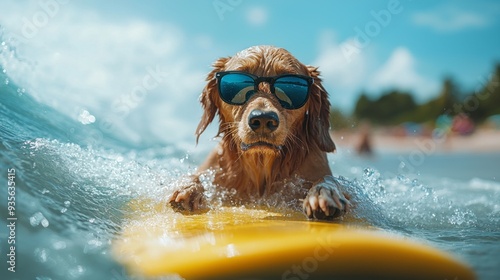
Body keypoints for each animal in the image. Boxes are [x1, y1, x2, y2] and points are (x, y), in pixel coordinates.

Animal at [170, 44, 350, 220]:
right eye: (238, 85)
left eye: (290, 87)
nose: (263, 119)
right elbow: (192, 175)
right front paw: (187, 188)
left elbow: (327, 179)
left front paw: (323, 193)